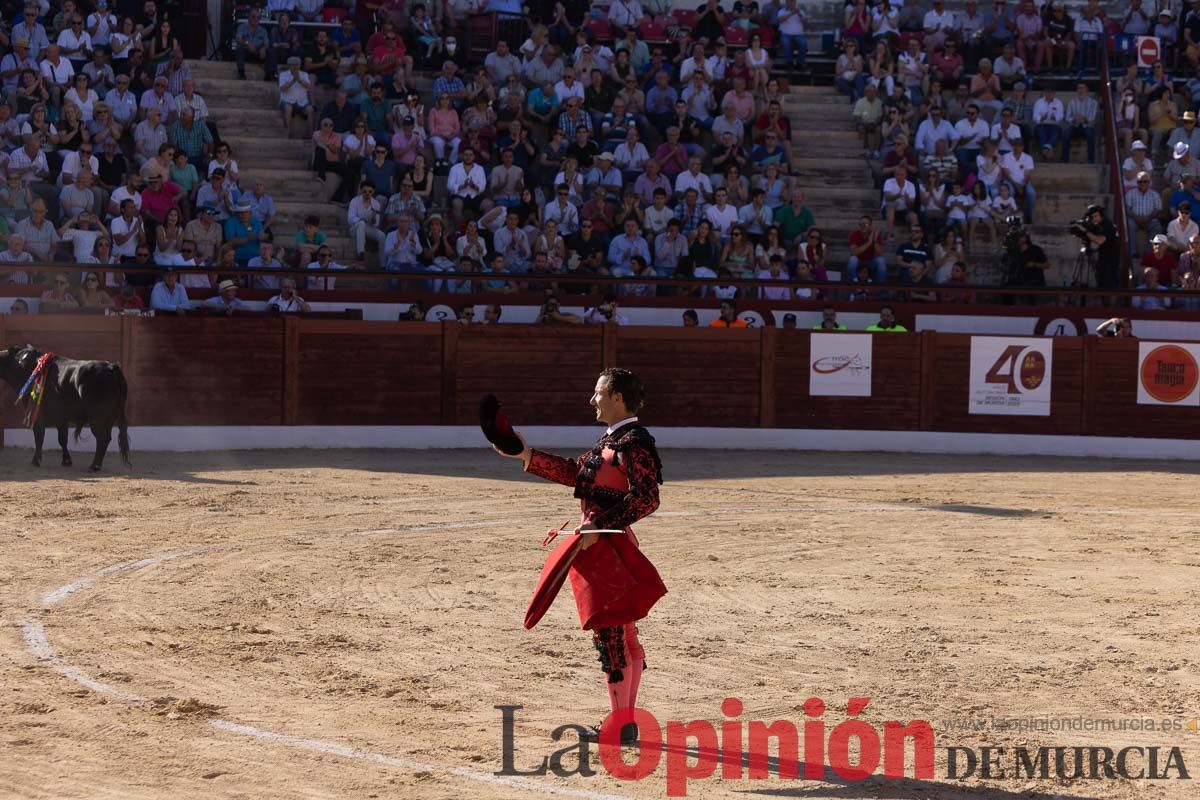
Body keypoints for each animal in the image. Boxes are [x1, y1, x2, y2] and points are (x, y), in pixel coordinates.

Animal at [0, 345, 132, 472]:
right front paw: (67, 461)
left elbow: (39, 437)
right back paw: (97, 464)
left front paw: (35, 461)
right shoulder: (61, 418)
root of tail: (112, 367)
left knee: (102, 439)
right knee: (107, 438)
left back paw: (95, 466)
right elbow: (62, 439)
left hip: (97, 419)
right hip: (111, 417)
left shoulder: (38, 416)